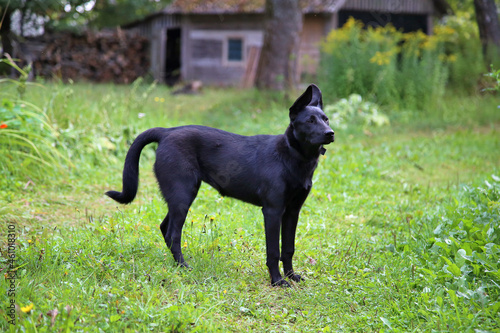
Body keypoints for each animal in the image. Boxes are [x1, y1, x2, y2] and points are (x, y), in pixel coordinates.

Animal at [106, 83, 334, 286]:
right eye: (310, 121)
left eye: (326, 119)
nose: (330, 133)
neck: (292, 155)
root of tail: (167, 132)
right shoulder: (273, 211)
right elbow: (273, 251)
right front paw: (277, 281)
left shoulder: (292, 211)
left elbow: (288, 248)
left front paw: (291, 276)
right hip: (183, 194)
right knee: (173, 233)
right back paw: (183, 266)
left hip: (178, 196)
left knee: (165, 228)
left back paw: (177, 264)